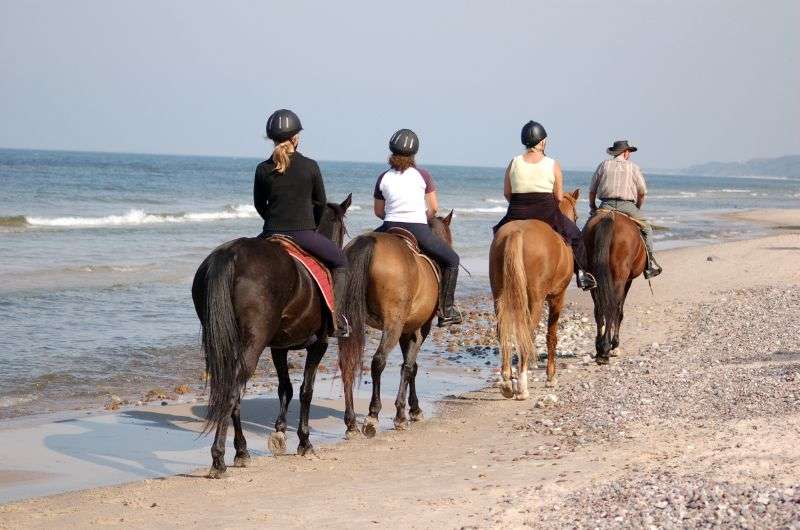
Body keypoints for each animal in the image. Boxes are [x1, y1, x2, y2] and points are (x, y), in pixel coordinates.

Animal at [189, 195, 352, 478]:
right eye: (342, 229)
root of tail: (231, 254)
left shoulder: (278, 347)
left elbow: (285, 387)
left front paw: (280, 432)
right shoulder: (319, 344)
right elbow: (306, 390)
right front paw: (303, 441)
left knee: (233, 392)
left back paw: (241, 451)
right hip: (254, 343)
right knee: (232, 392)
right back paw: (218, 459)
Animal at [334, 210, 454, 438]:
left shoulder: (407, 330)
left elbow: (411, 365)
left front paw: (412, 409)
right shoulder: (419, 328)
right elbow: (409, 367)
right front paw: (404, 413)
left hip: (349, 323)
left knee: (347, 363)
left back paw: (351, 422)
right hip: (393, 324)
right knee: (378, 361)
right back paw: (372, 415)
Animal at [490, 188, 580, 398]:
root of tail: (517, 232)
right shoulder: (557, 298)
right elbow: (551, 336)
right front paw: (551, 377)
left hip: (499, 296)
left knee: (504, 331)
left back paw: (507, 382)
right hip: (537, 301)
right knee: (527, 333)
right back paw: (522, 385)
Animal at [584, 207, 648, 364]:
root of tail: (610, 216)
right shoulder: (628, 280)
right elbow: (620, 309)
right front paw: (615, 344)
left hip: (594, 278)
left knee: (599, 309)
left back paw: (600, 347)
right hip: (619, 277)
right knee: (613, 307)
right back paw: (607, 347)